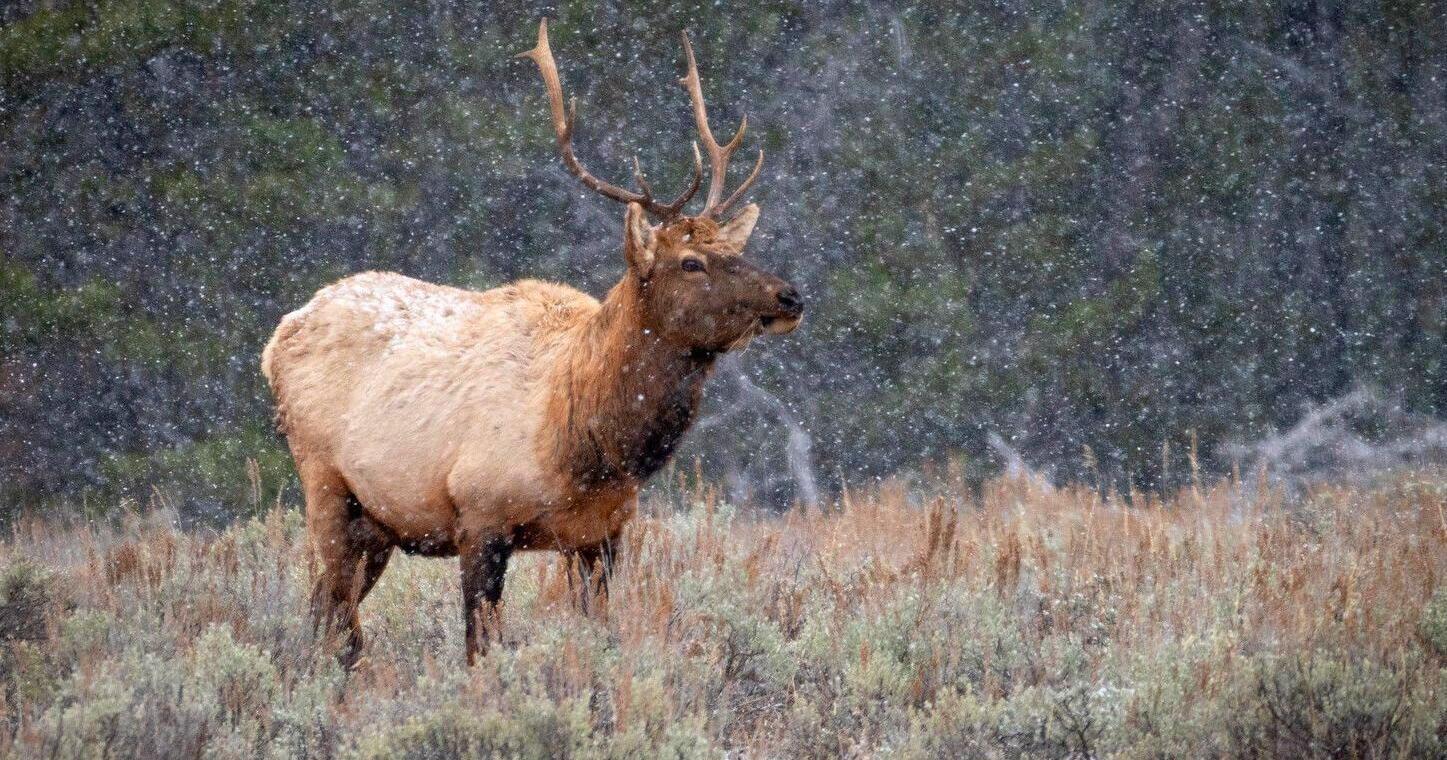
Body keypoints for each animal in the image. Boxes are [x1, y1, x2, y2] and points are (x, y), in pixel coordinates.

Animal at [261, 20, 802, 666]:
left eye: (734, 249)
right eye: (691, 262)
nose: (790, 296)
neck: (590, 447)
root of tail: (276, 339)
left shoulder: (602, 535)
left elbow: (597, 633)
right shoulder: (480, 515)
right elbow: (479, 646)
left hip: (377, 523)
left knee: (326, 607)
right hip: (324, 482)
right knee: (338, 617)